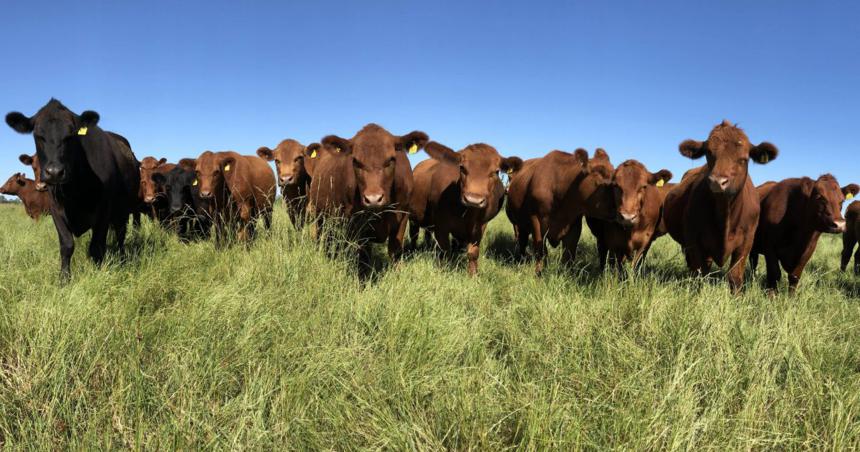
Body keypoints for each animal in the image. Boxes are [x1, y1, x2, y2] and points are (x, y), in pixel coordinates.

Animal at [5, 99, 140, 278]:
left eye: (71, 135)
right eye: (37, 135)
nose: (54, 172)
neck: (74, 190)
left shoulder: (104, 210)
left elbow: (96, 247)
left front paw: (96, 276)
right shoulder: (55, 210)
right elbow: (67, 245)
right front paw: (64, 278)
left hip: (123, 209)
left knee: (120, 234)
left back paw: (123, 258)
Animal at [412, 141, 524, 276]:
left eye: (496, 172)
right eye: (462, 168)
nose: (473, 200)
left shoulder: (480, 226)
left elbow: (473, 252)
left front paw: (473, 274)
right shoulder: (441, 225)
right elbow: (445, 250)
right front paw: (444, 271)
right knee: (413, 235)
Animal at [660, 121, 780, 294]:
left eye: (744, 159)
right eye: (708, 153)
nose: (717, 181)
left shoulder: (746, 242)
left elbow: (735, 276)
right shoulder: (693, 240)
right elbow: (699, 274)